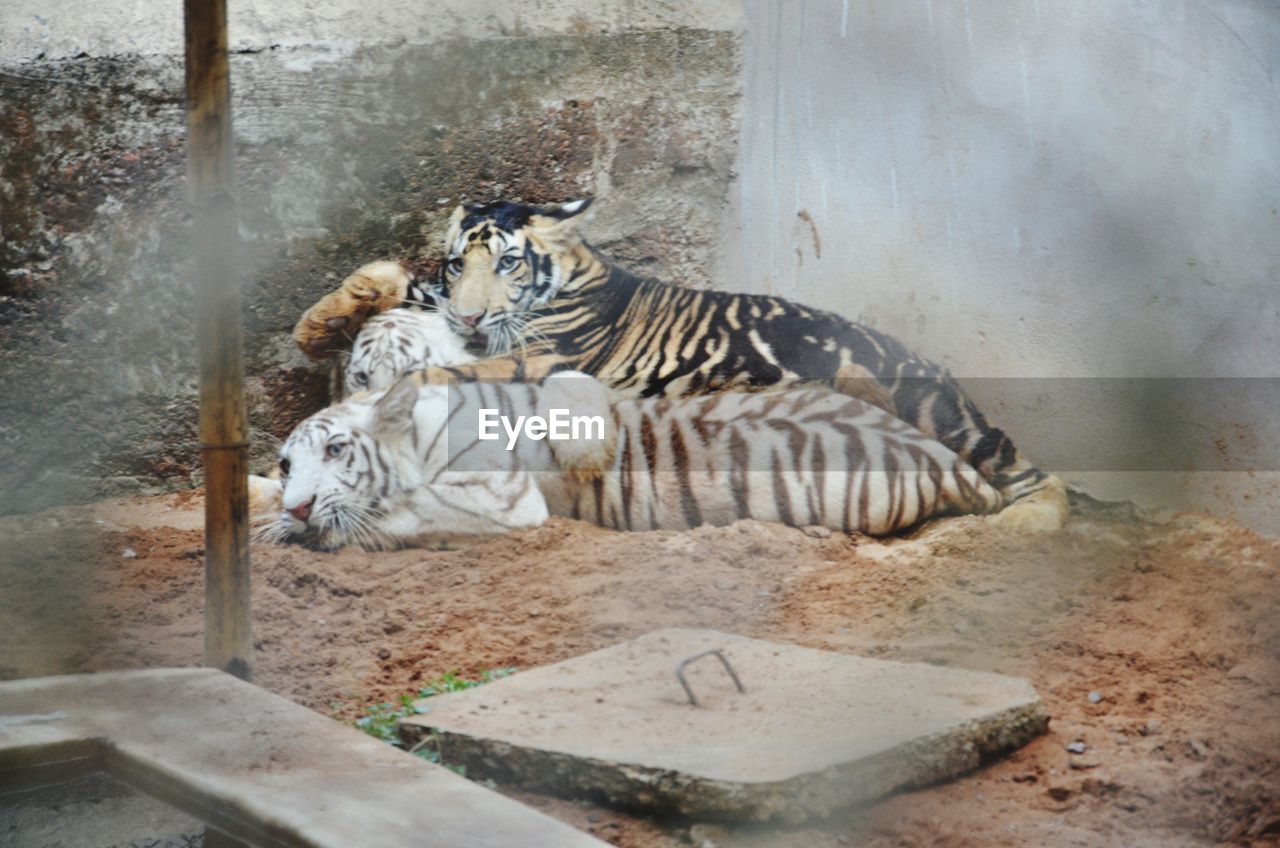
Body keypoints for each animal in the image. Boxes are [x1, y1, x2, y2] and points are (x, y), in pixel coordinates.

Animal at [254, 312, 1003, 550]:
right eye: (288, 463)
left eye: (337, 450)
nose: (298, 504)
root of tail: (952, 461)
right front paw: (277, 516)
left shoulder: (506, 503)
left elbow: (404, 513)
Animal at [294, 199, 1064, 532]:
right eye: (460, 261)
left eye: (508, 262)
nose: (472, 316)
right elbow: (398, 277)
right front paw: (319, 322)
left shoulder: (530, 355)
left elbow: (441, 373)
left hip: (932, 406)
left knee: (1033, 477)